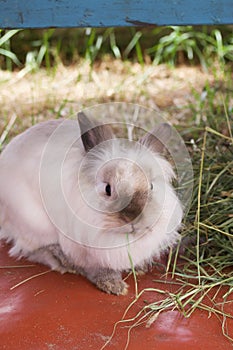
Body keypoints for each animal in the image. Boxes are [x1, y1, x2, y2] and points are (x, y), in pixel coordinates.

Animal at [0, 113, 183, 296]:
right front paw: (113, 285)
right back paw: (63, 262)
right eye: (108, 189)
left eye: (151, 186)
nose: (133, 219)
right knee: (34, 249)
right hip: (35, 223)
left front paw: (139, 268)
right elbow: (95, 267)